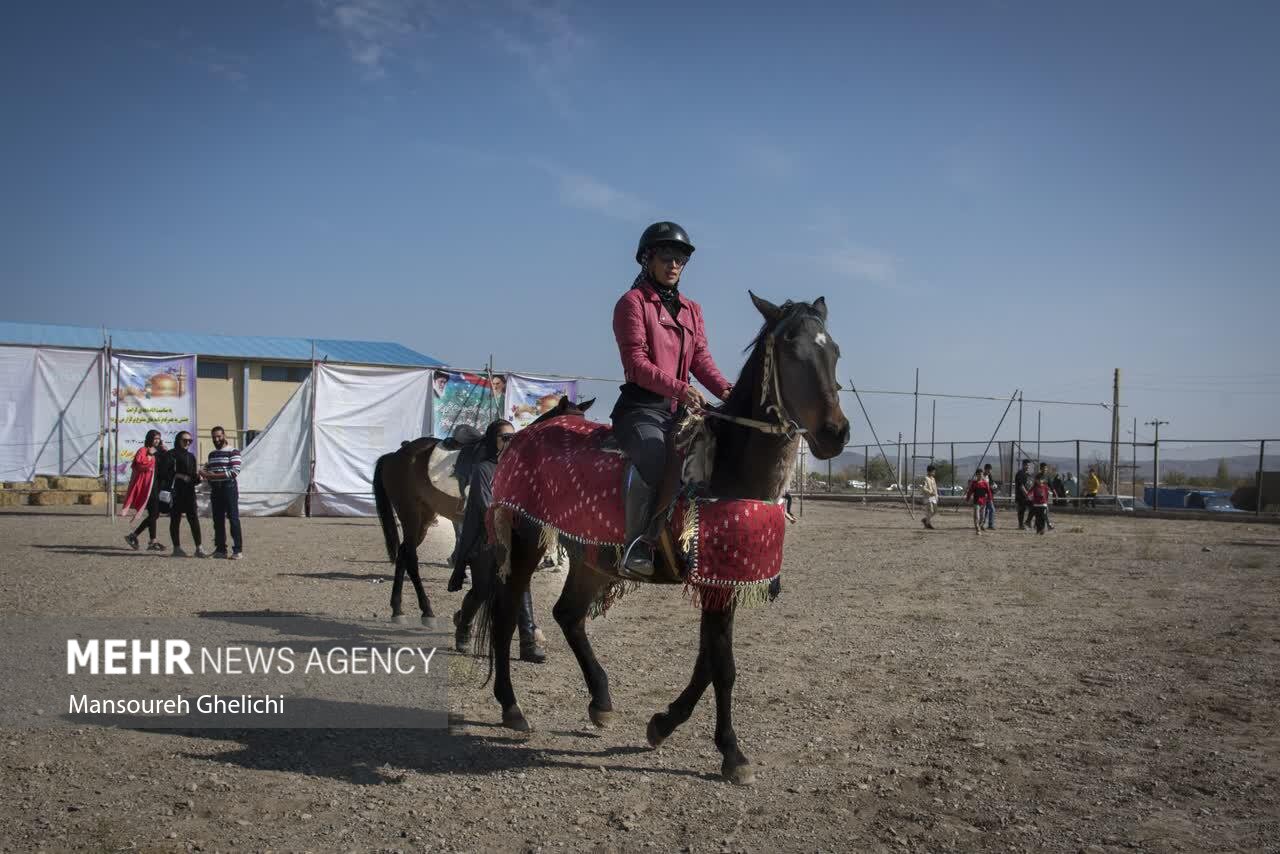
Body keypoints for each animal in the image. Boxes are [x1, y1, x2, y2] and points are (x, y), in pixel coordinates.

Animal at [368, 396, 591, 624]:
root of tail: (395, 456)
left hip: (425, 516)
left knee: (404, 553)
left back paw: (397, 608)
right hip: (410, 515)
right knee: (411, 557)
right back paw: (426, 610)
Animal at [481, 295, 849, 788]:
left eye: (834, 352)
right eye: (791, 349)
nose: (835, 433)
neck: (730, 467)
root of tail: (525, 435)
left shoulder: (723, 579)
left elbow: (708, 662)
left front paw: (663, 724)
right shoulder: (715, 583)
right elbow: (723, 667)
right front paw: (732, 753)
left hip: (589, 558)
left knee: (568, 615)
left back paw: (601, 702)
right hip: (525, 540)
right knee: (506, 614)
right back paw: (511, 707)